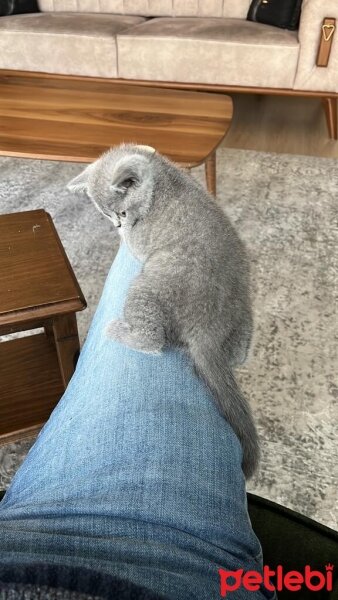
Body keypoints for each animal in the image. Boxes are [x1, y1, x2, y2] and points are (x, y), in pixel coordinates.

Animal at [68, 145, 258, 478]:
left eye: (121, 213)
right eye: (105, 214)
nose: (117, 226)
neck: (163, 179)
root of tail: (206, 329)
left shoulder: (138, 240)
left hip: (145, 287)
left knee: (152, 341)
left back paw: (115, 329)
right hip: (243, 324)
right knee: (236, 356)